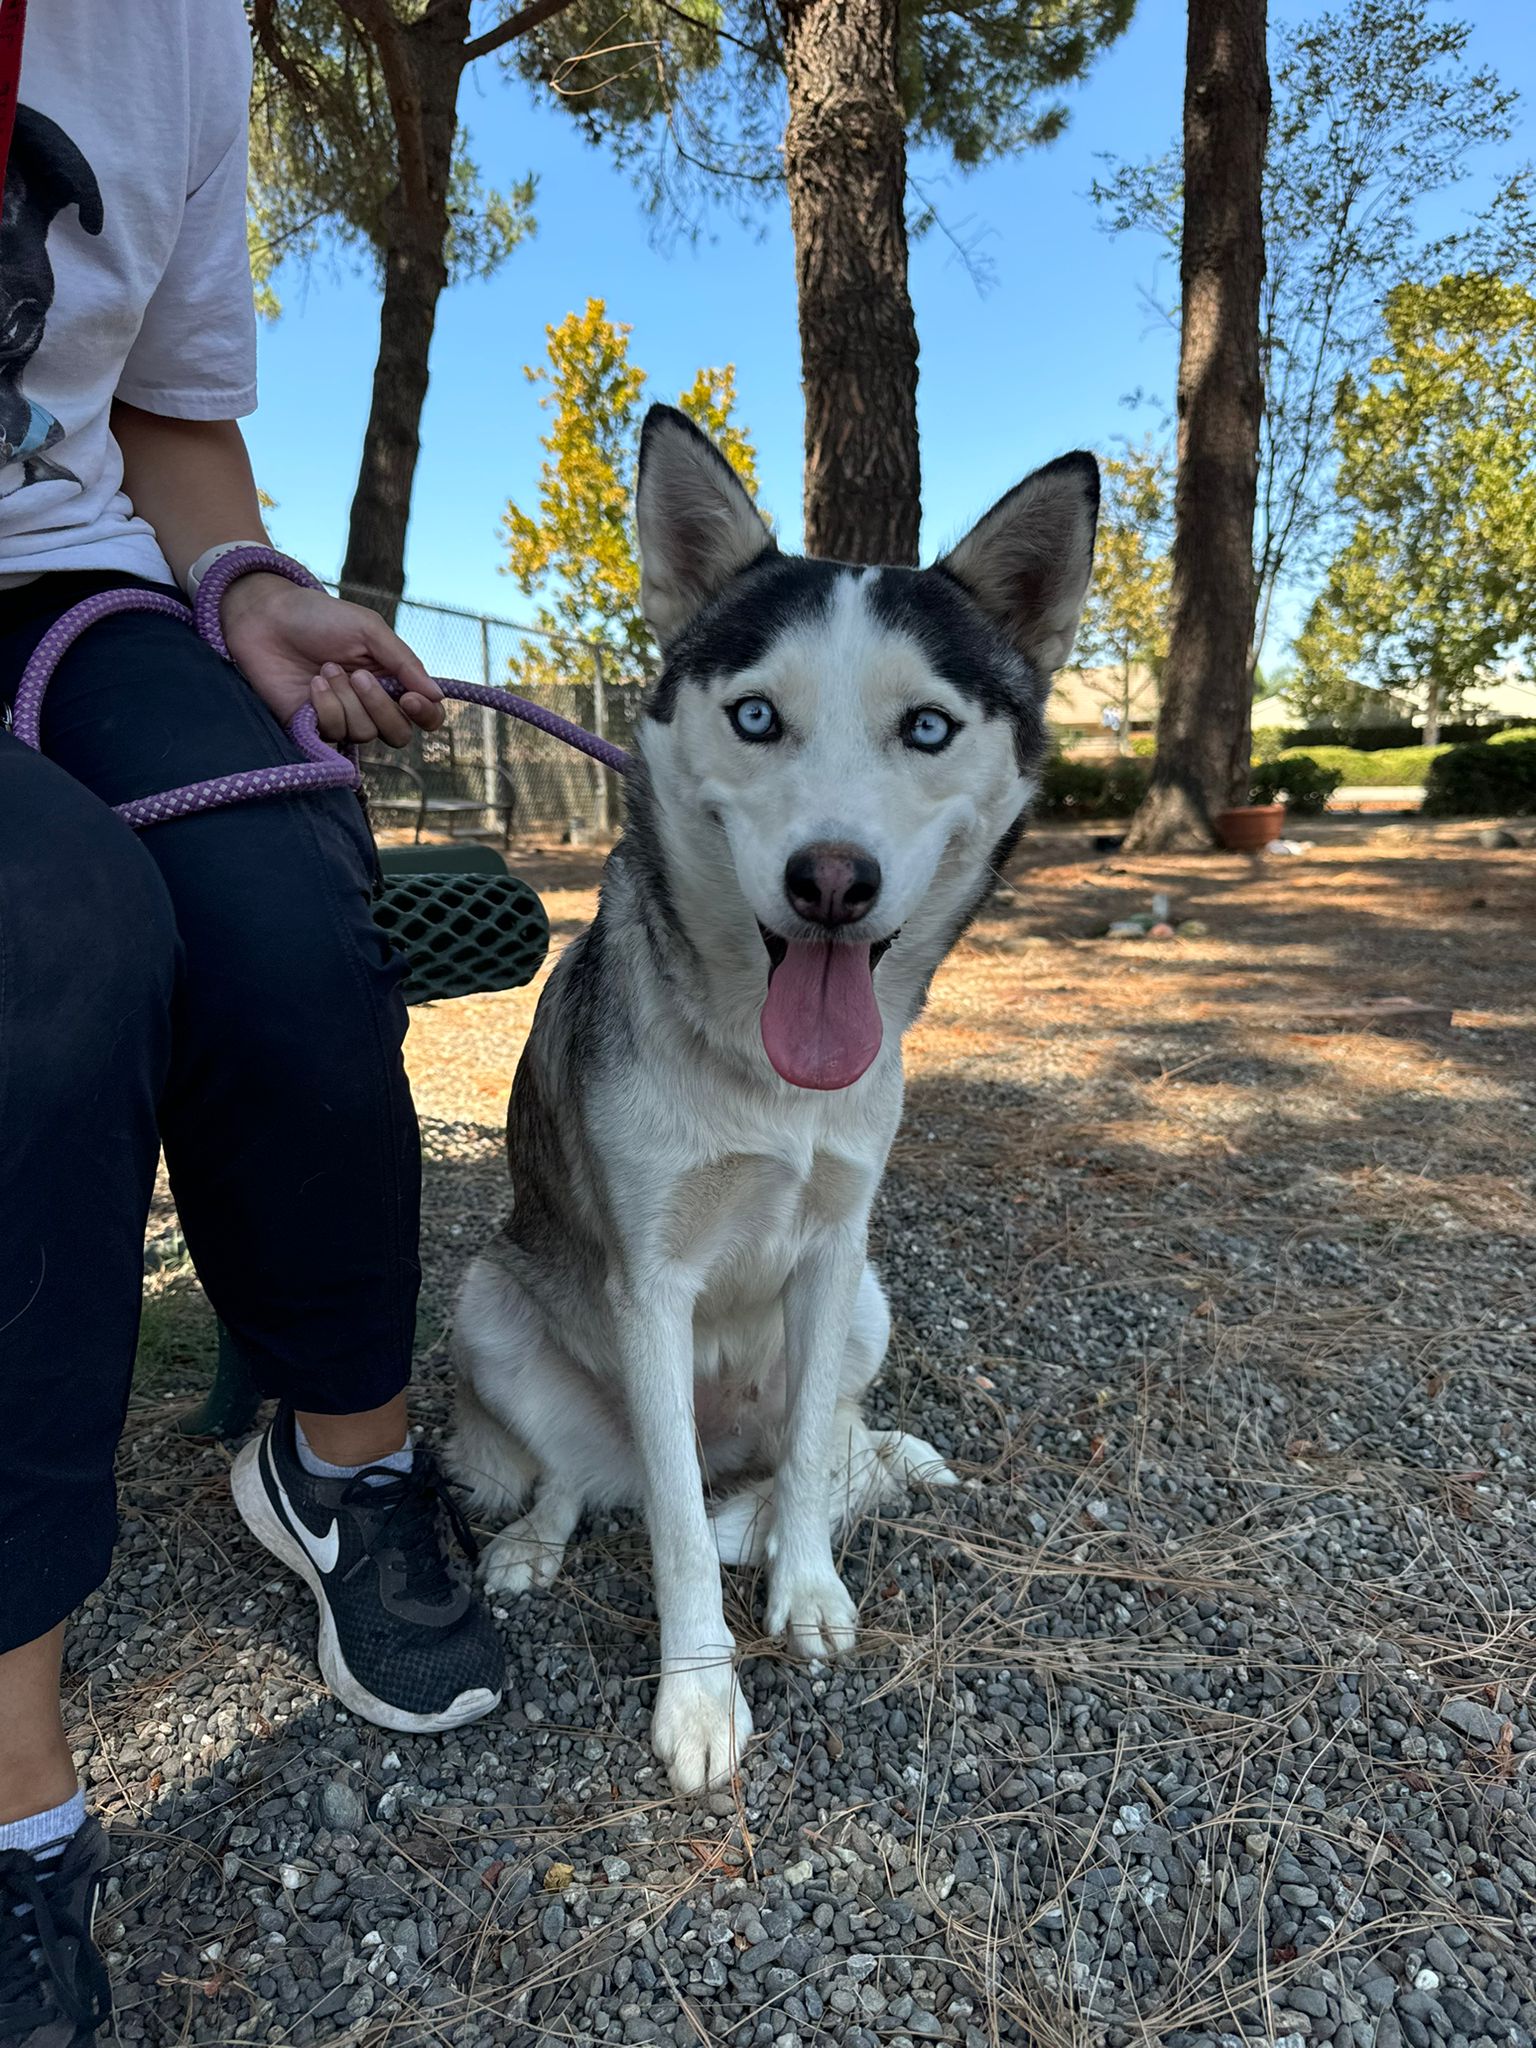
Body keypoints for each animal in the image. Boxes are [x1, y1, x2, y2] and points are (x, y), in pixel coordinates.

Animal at [450, 403, 1097, 1794]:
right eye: (755, 715)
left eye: (926, 729)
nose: (832, 881)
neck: (771, 1078)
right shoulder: (651, 1282)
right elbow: (677, 1530)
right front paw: (699, 1697)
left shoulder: (836, 1242)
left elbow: (805, 1461)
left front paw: (803, 1594)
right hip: (488, 1304)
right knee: (593, 1475)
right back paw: (535, 1537)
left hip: (868, 1307)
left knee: (818, 1445)